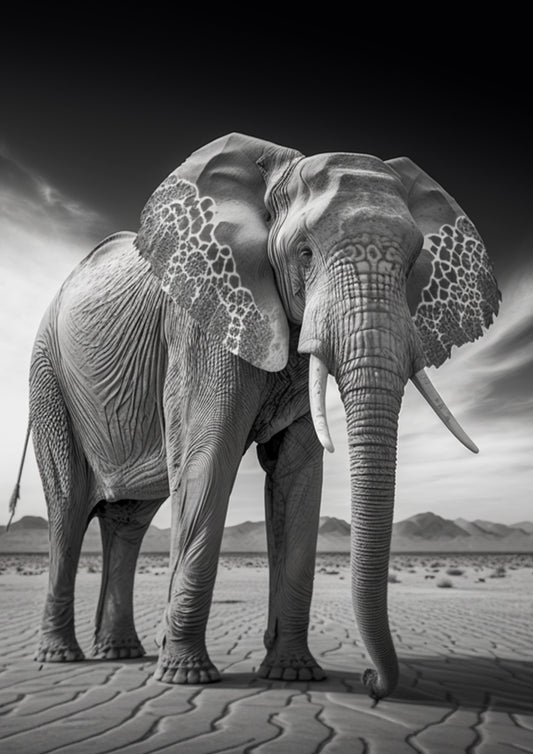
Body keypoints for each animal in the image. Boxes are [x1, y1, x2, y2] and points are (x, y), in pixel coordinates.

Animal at [19, 132, 500, 700]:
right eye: (305, 254)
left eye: (411, 264)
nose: (371, 682)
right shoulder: (203, 321)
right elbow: (208, 460)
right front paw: (187, 677)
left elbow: (298, 477)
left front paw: (294, 674)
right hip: (48, 379)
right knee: (68, 507)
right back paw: (62, 657)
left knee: (128, 520)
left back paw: (122, 653)